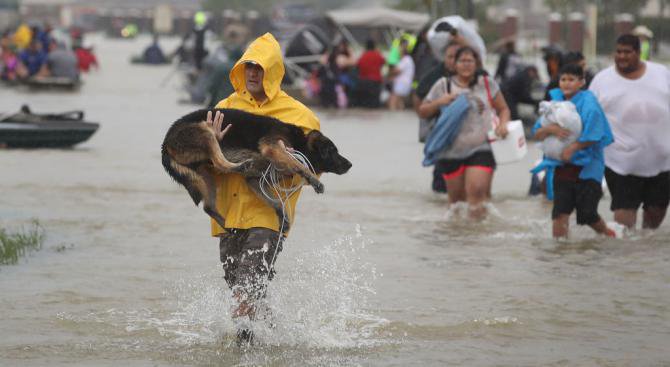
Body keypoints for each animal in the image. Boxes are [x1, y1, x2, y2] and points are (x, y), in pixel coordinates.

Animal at [162, 108, 354, 233]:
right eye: (333, 151)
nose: (350, 164)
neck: (300, 142)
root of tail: (165, 142)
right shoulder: (274, 148)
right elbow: (300, 165)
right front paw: (314, 180)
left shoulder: (255, 181)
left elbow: (275, 202)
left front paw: (283, 218)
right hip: (206, 132)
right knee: (219, 162)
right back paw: (240, 165)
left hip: (205, 173)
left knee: (208, 206)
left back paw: (228, 225)